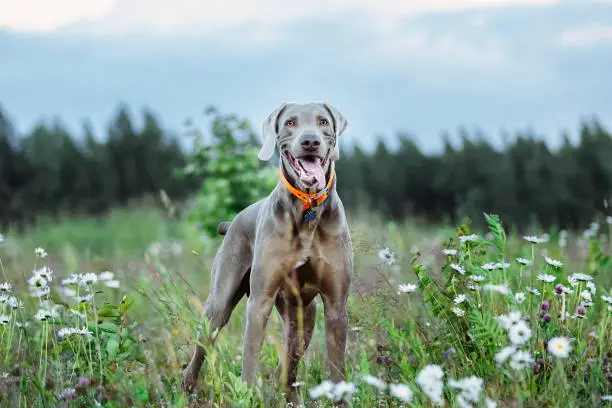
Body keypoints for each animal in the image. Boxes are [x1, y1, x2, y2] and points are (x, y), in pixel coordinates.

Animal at [182, 101, 354, 402]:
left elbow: (336, 367)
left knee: (287, 366)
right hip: (219, 304)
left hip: (303, 316)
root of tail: (232, 221)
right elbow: (250, 359)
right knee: (202, 347)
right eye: (290, 123)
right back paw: (187, 388)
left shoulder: (335, 304)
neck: (307, 210)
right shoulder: (260, 300)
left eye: (322, 121)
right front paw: (247, 396)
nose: (310, 141)